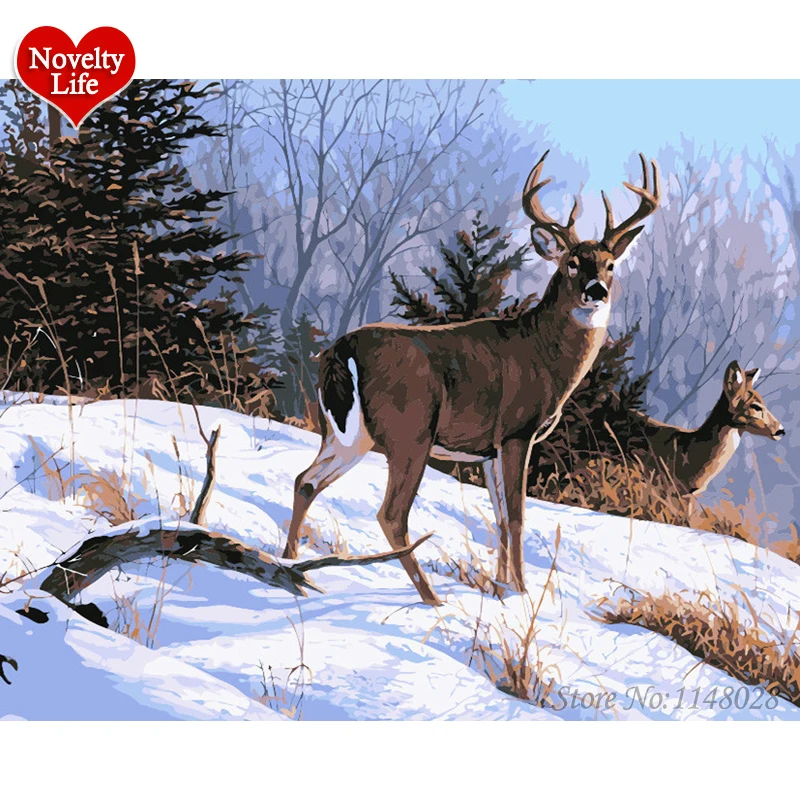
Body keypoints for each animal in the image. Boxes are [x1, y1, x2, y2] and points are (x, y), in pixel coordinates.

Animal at [281, 152, 661, 606]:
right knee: (391, 514)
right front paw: (521, 593)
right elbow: (516, 517)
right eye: (571, 263)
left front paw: (501, 589)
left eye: (609, 264)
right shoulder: (517, 431)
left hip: (347, 434)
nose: (597, 291)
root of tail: (341, 347)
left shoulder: (488, 450)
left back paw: (288, 562)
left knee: (305, 480)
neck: (544, 354)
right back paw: (431, 598)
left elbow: (498, 518)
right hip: (410, 431)